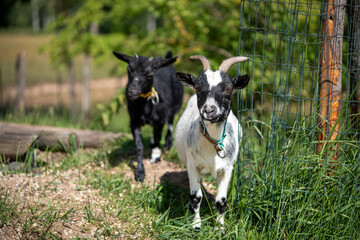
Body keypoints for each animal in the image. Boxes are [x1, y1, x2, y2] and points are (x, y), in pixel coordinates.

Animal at [112, 51, 184, 182]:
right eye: (129, 69)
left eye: (149, 74)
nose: (132, 91)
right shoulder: (134, 121)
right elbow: (139, 146)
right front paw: (140, 172)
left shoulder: (160, 120)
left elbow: (157, 137)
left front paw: (155, 156)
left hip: (176, 104)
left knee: (170, 121)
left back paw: (168, 143)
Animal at [175, 54, 249, 231]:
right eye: (197, 88)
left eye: (228, 89)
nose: (209, 110)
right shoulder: (192, 165)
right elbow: (196, 197)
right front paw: (196, 225)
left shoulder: (227, 169)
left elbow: (221, 200)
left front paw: (220, 228)